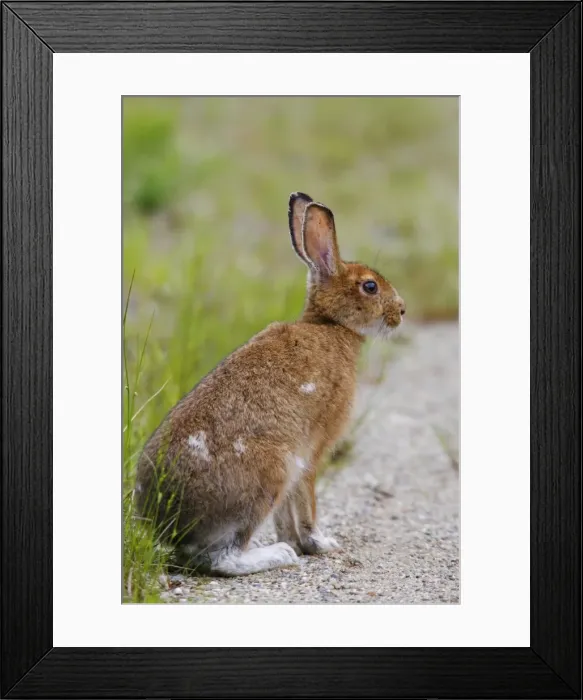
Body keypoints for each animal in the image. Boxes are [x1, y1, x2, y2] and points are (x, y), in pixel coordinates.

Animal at [135, 192, 405, 576]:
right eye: (370, 286)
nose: (402, 311)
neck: (332, 326)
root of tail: (168, 523)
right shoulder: (310, 453)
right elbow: (306, 502)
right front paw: (319, 543)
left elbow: (286, 514)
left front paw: (298, 540)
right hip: (266, 477)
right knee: (223, 559)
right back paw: (277, 554)